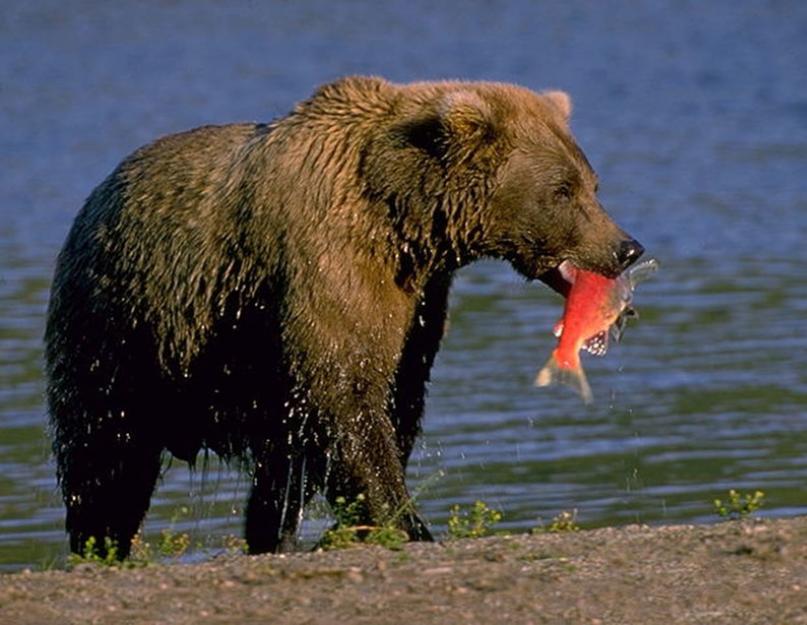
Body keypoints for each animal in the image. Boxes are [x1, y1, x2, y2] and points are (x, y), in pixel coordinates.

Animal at [49, 75, 644, 560]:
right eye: (562, 190)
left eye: (592, 183)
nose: (626, 247)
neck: (403, 218)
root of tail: (96, 195)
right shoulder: (329, 259)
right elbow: (346, 392)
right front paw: (406, 523)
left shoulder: (418, 298)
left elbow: (394, 394)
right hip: (121, 328)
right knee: (105, 451)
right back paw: (102, 543)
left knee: (276, 464)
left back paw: (269, 534)